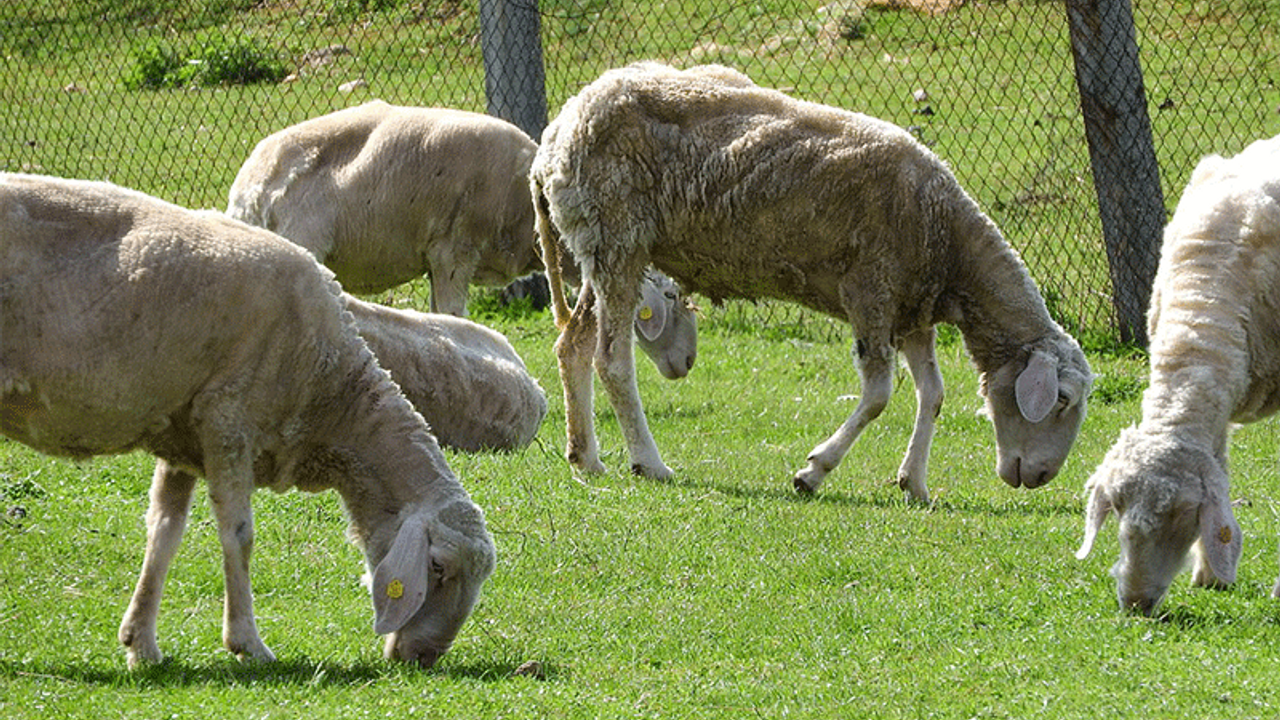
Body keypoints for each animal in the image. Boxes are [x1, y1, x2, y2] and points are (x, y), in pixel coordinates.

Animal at [0, 170, 494, 666]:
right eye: (438, 567)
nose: (424, 657)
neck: (333, 395)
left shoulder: (181, 434)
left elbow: (164, 532)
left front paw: (141, 642)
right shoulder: (228, 419)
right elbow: (239, 535)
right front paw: (247, 644)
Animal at [225, 102, 696, 381]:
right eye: (670, 298)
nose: (689, 362)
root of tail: (247, 190)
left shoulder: (439, 261)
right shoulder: (453, 251)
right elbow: (455, 317)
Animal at [529, 61, 1090, 499]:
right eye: (1061, 400)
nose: (1040, 477)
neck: (951, 246)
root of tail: (553, 138)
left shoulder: (912, 309)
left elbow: (932, 394)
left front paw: (914, 482)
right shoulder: (871, 289)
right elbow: (878, 394)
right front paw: (813, 471)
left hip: (599, 247)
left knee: (573, 345)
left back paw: (586, 458)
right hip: (617, 236)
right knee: (611, 360)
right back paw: (649, 462)